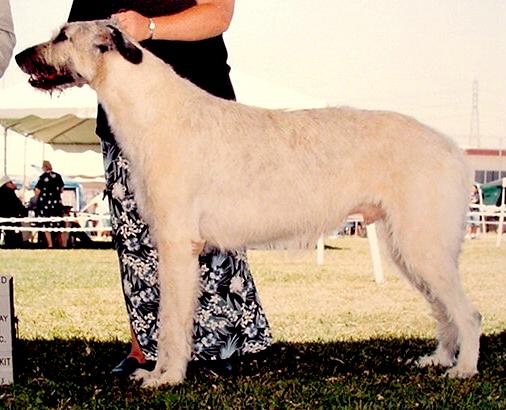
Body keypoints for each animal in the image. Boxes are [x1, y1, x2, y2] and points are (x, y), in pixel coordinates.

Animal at [16, 20, 481, 387]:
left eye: (62, 35)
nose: (19, 55)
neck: (154, 109)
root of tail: (456, 151)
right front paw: (157, 372)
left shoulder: (176, 244)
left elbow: (172, 322)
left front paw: (167, 376)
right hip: (406, 246)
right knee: (444, 310)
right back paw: (439, 358)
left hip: (423, 242)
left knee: (468, 314)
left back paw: (464, 369)